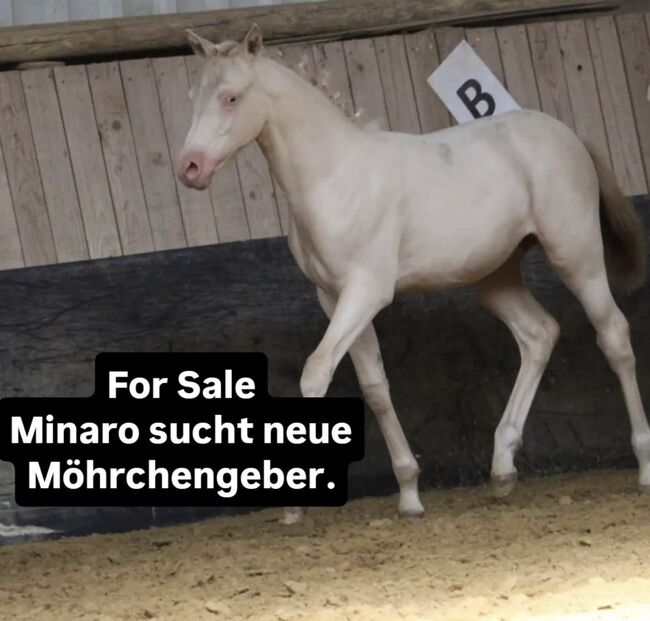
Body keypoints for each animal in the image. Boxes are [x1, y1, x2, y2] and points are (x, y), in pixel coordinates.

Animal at [177, 24, 650, 525]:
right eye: (193, 96)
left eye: (231, 97)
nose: (190, 168)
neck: (334, 177)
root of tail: (569, 135)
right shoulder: (334, 297)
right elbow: (374, 386)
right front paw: (409, 495)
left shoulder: (366, 292)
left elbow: (316, 373)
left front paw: (292, 504)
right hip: (495, 277)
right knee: (539, 333)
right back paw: (502, 469)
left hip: (577, 257)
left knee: (614, 336)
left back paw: (642, 465)